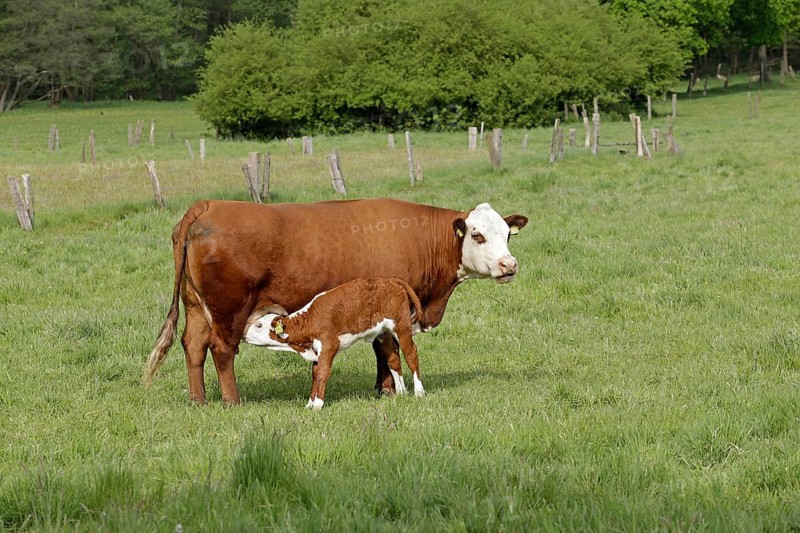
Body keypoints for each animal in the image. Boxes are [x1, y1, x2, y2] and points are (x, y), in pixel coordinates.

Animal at [243, 277, 426, 409]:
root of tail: (391, 280)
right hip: (384, 333)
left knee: (411, 355)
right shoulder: (316, 350)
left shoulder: (329, 345)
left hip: (402, 327)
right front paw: (309, 403)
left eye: (259, 325)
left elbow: (323, 372)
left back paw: (419, 392)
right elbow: (315, 373)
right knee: (394, 360)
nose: (243, 335)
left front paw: (318, 405)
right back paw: (401, 392)